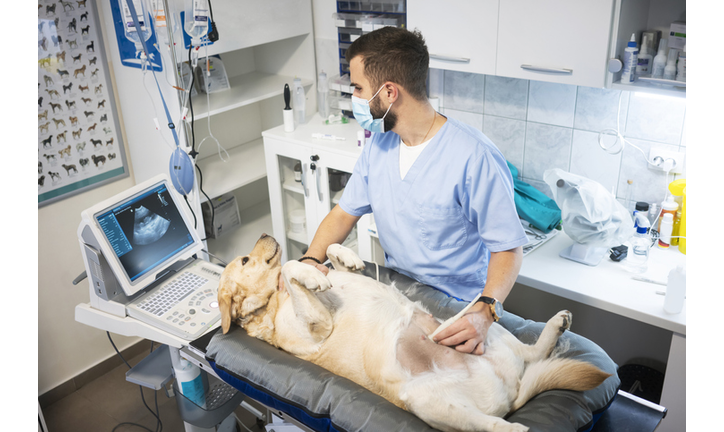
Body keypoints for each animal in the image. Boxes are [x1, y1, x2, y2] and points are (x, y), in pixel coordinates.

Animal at [216, 235, 612, 432]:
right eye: (245, 260)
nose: (265, 232)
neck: (272, 302)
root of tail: (512, 391)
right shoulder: (317, 326)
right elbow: (290, 270)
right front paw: (309, 275)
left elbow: (326, 255)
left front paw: (343, 259)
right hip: (426, 400)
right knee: (494, 426)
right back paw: (516, 428)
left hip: (477, 325)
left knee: (531, 352)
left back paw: (556, 324)